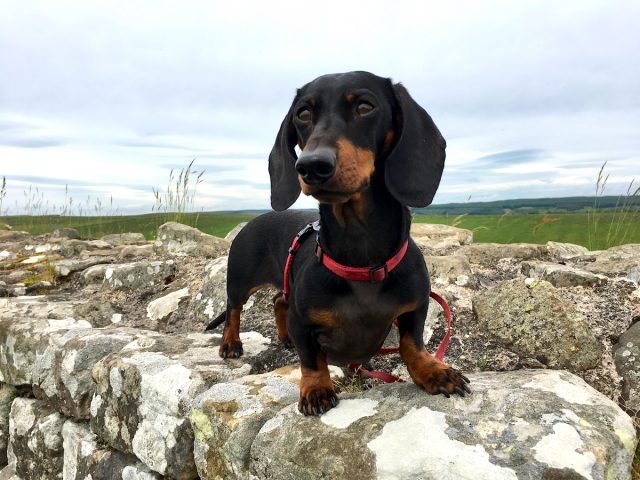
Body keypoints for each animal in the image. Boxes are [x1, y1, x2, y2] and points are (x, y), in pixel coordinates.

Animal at [206, 69, 470, 414]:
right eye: (303, 113)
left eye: (365, 106)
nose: (310, 166)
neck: (361, 257)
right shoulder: (304, 323)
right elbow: (311, 358)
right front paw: (316, 389)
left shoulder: (416, 307)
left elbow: (411, 343)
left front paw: (432, 370)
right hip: (240, 280)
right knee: (233, 310)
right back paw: (230, 343)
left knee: (278, 300)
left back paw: (283, 336)